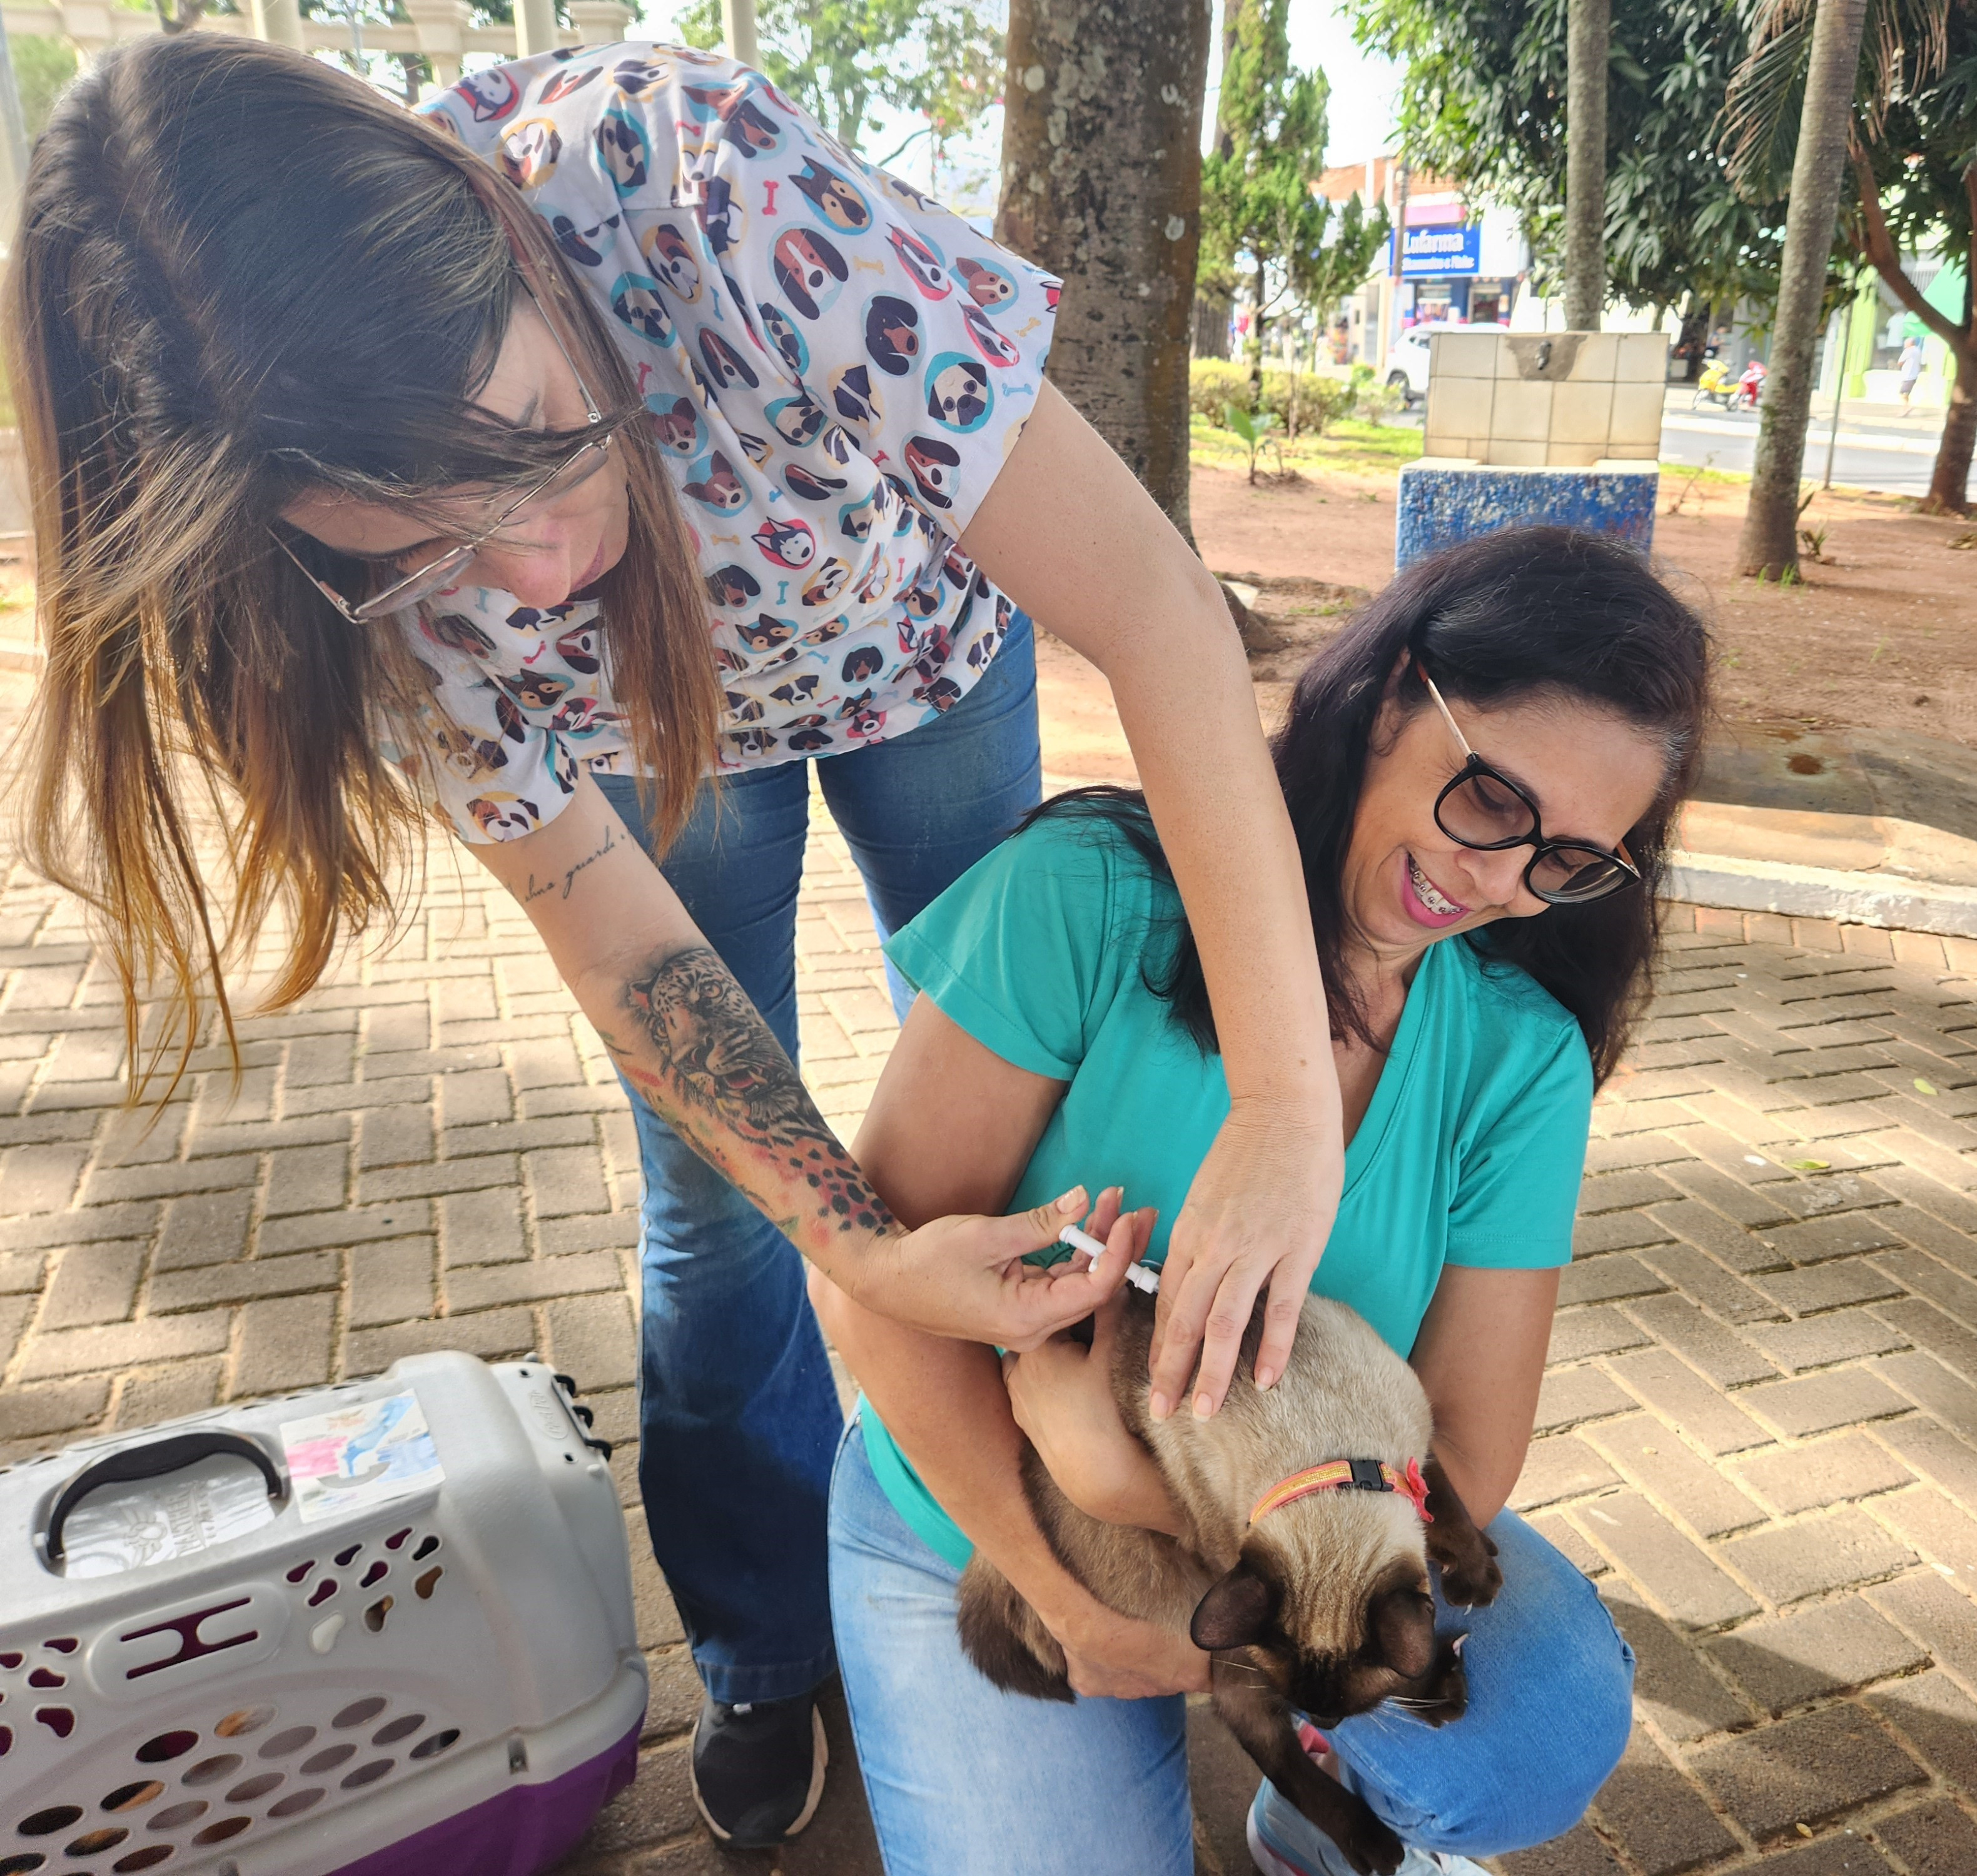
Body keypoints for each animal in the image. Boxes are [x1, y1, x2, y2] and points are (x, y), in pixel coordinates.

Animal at [953, 1289, 1494, 1873]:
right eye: (1326, 1714)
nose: (1322, 1725)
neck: (1327, 1453)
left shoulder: (1417, 1446)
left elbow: (1444, 1502)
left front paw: (1476, 1573)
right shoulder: (1226, 1552)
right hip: (1219, 1634)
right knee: (1265, 1740)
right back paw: (1377, 1835)